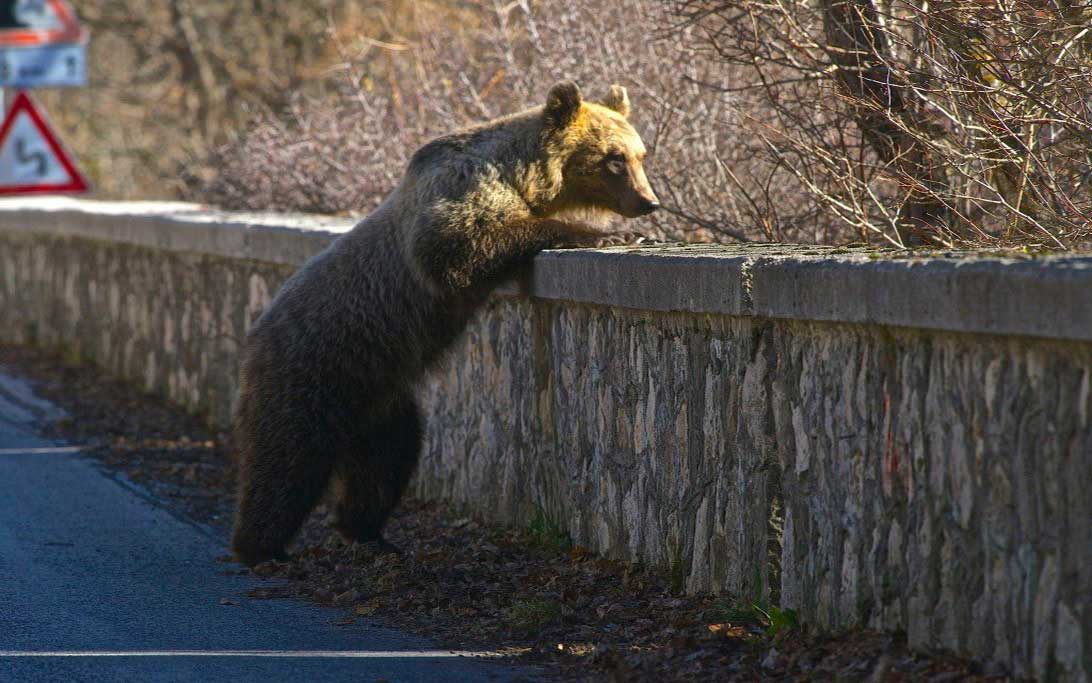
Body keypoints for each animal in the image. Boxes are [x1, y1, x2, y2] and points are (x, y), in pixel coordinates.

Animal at [230, 81, 659, 566]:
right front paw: (608, 234)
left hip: (381, 401)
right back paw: (261, 546)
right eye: (614, 158)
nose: (648, 202)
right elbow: (461, 245)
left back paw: (369, 532)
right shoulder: (460, 193)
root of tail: (256, 332)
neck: (523, 177)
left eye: (641, 154)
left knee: (388, 460)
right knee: (286, 458)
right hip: (315, 368)